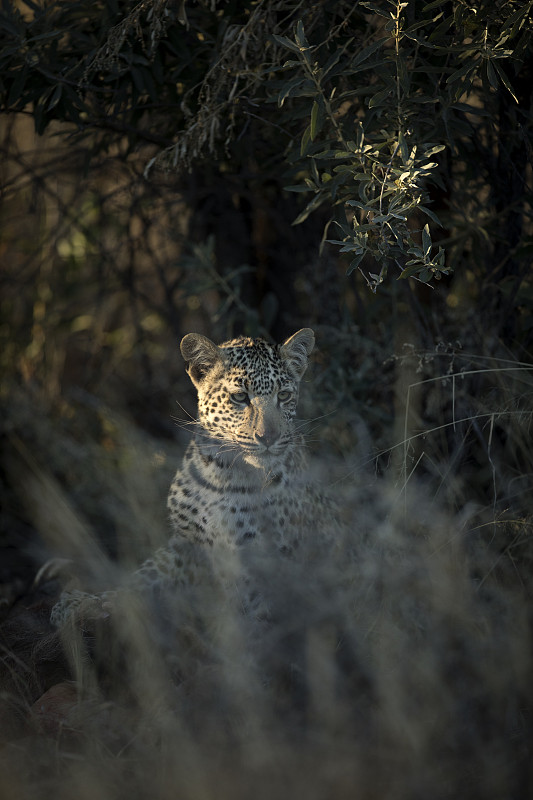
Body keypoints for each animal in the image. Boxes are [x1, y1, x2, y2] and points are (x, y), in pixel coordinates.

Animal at [48, 328, 328, 628]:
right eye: (240, 397)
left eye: (284, 395)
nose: (268, 438)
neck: (222, 475)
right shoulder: (187, 544)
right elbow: (146, 576)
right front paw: (88, 603)